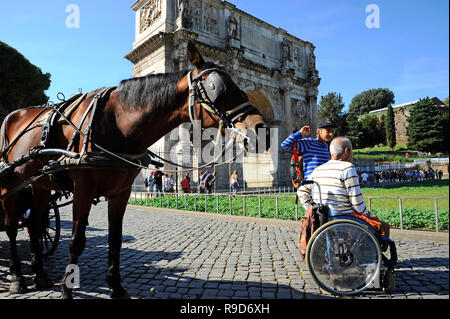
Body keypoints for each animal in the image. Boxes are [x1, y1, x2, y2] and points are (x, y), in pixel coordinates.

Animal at [0, 43, 268, 300]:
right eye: (216, 87)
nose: (260, 129)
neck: (116, 125)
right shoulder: (83, 191)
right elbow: (76, 241)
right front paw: (67, 290)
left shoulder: (121, 193)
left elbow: (115, 239)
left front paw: (116, 286)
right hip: (9, 184)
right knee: (12, 227)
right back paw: (17, 278)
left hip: (40, 186)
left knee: (36, 225)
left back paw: (40, 274)